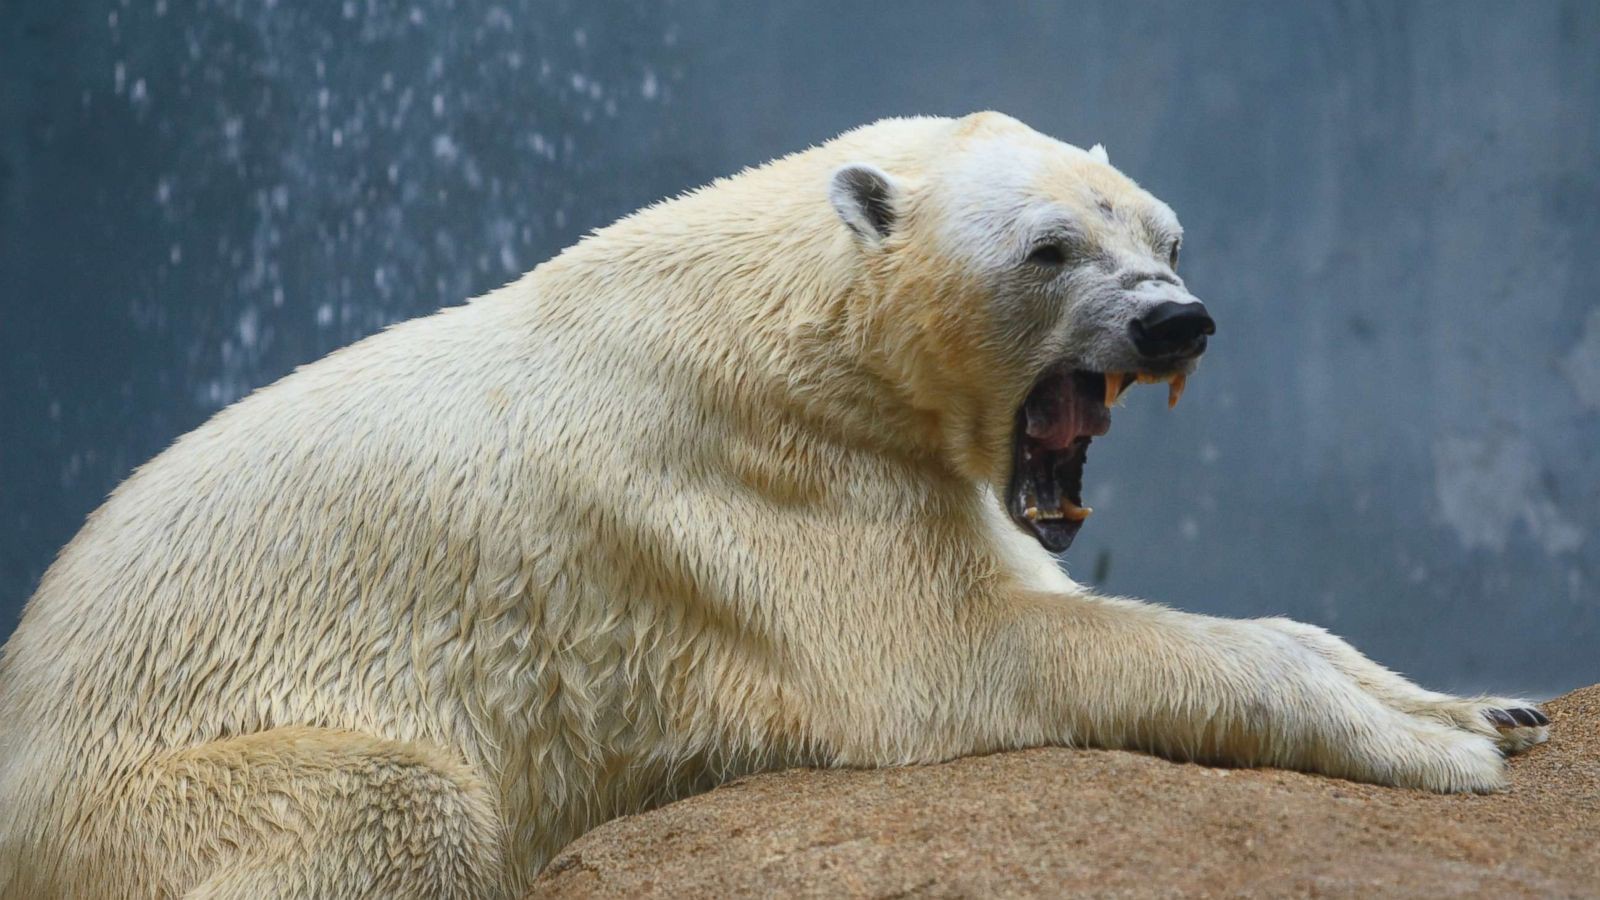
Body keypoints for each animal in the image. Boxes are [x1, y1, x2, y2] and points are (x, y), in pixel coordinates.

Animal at [0, 113, 1548, 896]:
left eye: (1167, 233)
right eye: (1050, 249)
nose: (1177, 320)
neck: (787, 321)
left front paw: (1488, 705)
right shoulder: (762, 479)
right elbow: (968, 656)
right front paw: (1434, 751)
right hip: (133, 803)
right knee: (395, 806)